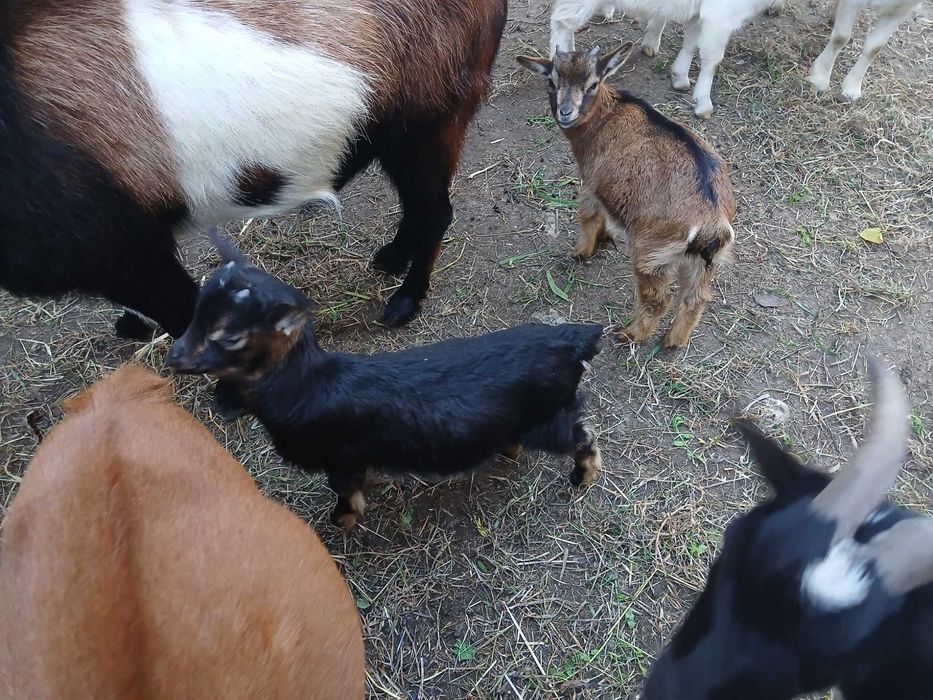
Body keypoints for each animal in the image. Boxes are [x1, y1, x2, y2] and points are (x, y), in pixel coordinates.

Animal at [0, 0, 506, 339]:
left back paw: (406, 300)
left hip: (429, 124)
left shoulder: (119, 250)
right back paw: (391, 258)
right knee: (418, 207)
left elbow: (182, 310)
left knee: (435, 211)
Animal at [165, 233, 604, 528]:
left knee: (583, 435)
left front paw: (340, 521)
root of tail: (576, 340)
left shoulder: (341, 458)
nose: (173, 356)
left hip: (548, 417)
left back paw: (582, 477)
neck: (307, 387)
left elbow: (345, 492)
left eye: (230, 336)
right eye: (197, 310)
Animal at [517, 45, 735, 348]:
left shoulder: (591, 183)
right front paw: (606, 237)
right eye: (551, 81)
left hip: (651, 254)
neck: (608, 116)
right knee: (695, 298)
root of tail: (712, 224)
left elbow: (588, 216)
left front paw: (581, 252)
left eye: (592, 84)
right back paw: (673, 340)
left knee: (657, 298)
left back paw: (630, 334)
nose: (566, 112)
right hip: (703, 263)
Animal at [549, 0, 784, 118]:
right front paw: (703, 103)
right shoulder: (720, 16)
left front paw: (680, 77)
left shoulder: (700, 15)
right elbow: (713, 59)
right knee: (561, 22)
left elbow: (691, 43)